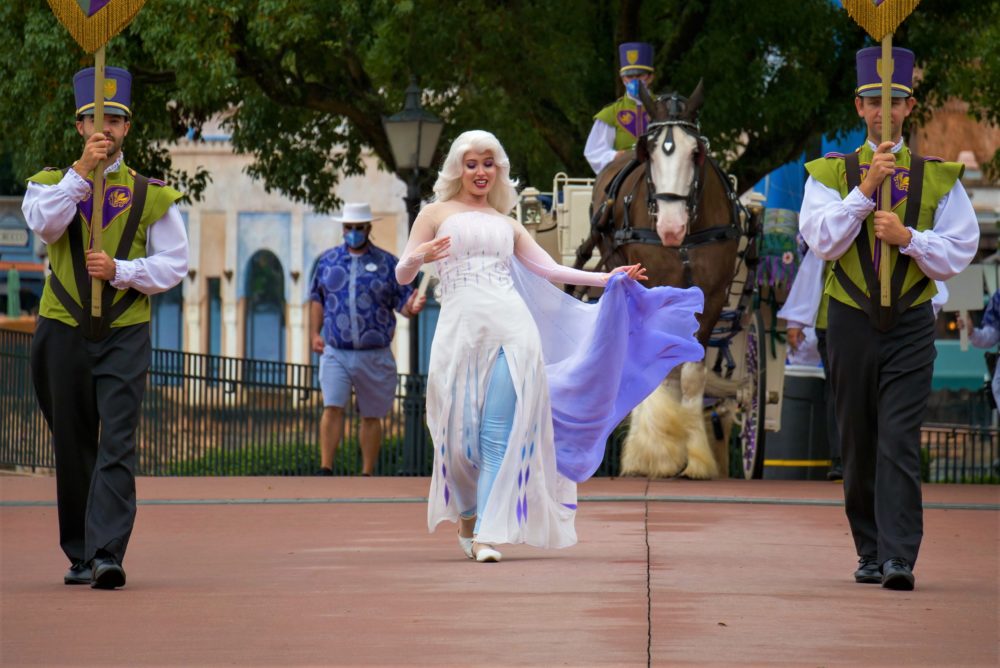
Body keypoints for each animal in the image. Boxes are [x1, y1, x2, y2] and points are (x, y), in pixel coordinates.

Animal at [580, 82, 752, 480]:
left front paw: (695, 458)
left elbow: (690, 372)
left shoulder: (712, 296)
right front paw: (653, 455)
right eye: (650, 152)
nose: (671, 228)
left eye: (697, 152)